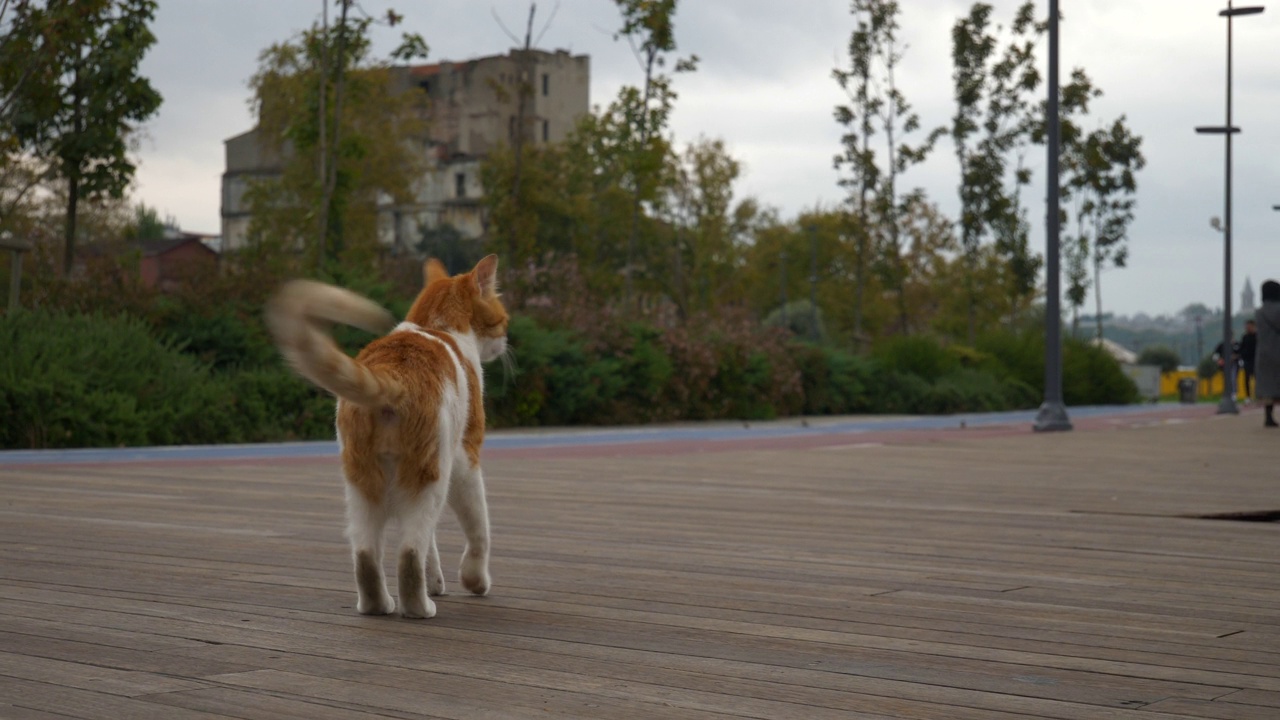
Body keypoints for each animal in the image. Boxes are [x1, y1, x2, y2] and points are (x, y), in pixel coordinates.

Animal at [263, 254, 504, 614]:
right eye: (503, 319)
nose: (504, 342)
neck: (437, 326)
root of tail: (394, 375)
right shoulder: (465, 460)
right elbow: (478, 529)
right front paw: (475, 582)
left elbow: (432, 547)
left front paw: (436, 583)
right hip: (430, 478)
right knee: (409, 553)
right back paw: (420, 608)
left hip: (361, 483)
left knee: (366, 554)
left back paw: (378, 605)